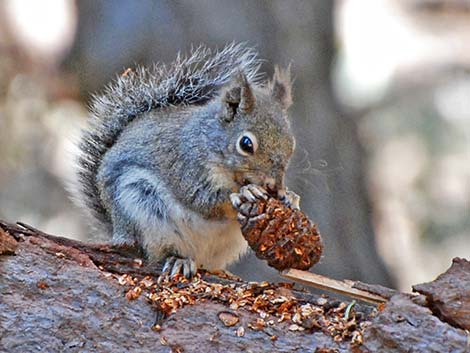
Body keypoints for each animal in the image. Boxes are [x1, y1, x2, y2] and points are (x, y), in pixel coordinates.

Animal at [75, 42, 300, 276]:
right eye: (246, 144)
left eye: (291, 144)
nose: (274, 186)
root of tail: (117, 234)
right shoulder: (185, 164)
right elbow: (200, 199)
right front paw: (244, 192)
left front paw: (289, 196)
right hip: (141, 206)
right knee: (156, 252)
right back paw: (178, 260)